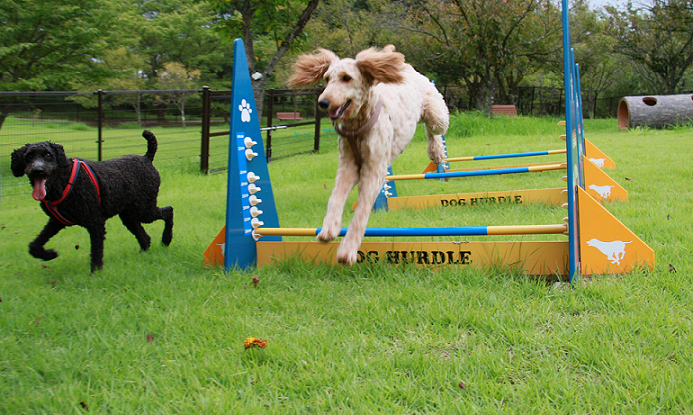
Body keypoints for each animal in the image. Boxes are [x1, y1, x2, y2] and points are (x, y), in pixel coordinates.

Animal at [11, 131, 174, 272]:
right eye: (29, 156)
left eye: (48, 155)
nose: (37, 170)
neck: (63, 179)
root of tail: (146, 157)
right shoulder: (57, 221)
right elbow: (34, 245)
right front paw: (50, 254)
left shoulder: (95, 222)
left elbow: (96, 251)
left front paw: (95, 273)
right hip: (129, 214)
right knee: (144, 236)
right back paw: (142, 253)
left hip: (144, 209)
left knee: (168, 211)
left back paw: (166, 239)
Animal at [286, 44, 448, 264]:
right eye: (326, 78)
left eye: (346, 78)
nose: (323, 102)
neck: (358, 126)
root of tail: (405, 67)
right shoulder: (348, 166)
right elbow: (335, 198)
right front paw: (329, 229)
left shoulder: (374, 171)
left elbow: (361, 212)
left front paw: (348, 250)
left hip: (436, 113)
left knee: (434, 130)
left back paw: (437, 152)